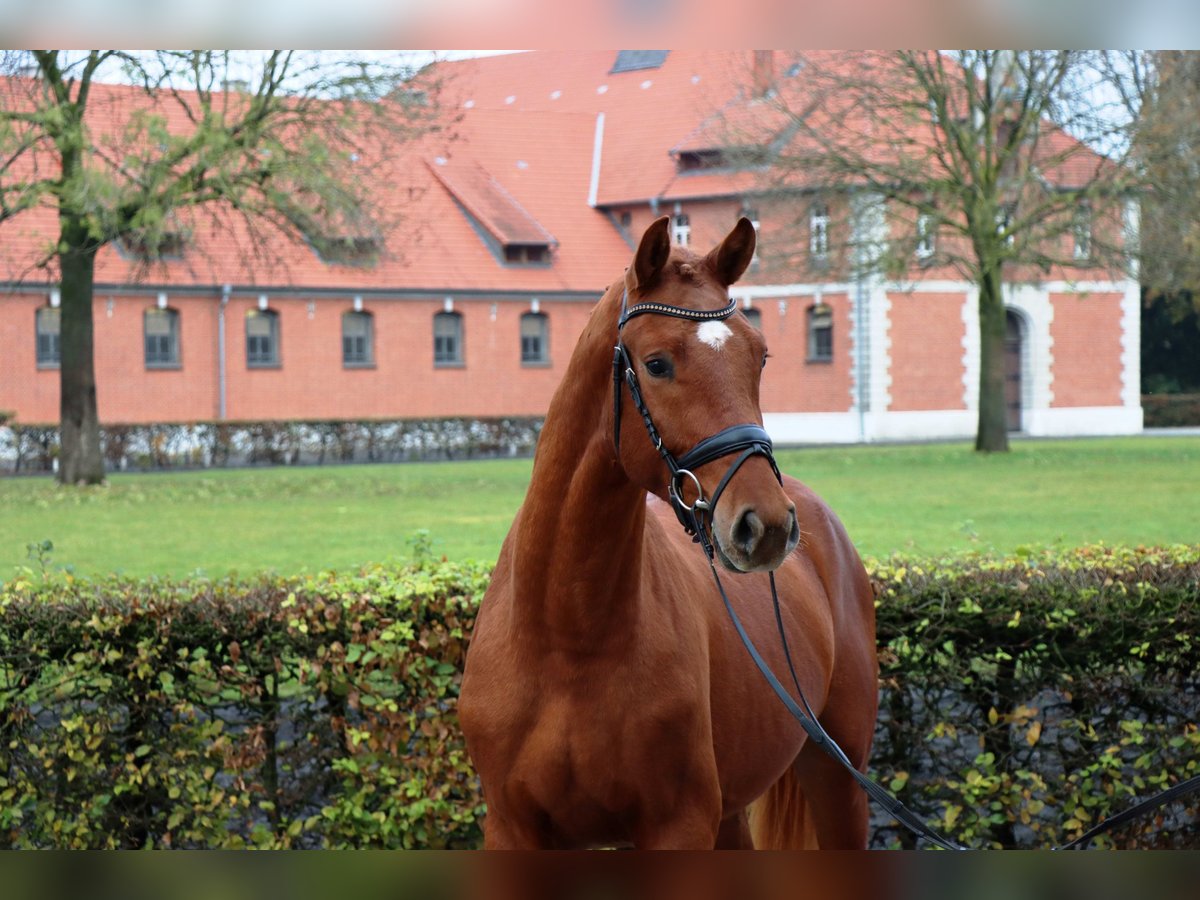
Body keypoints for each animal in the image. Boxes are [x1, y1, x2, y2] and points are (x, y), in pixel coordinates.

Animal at [453, 214, 878, 849]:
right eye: (656, 363)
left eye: (760, 357)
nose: (766, 524)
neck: (566, 640)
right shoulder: (512, 829)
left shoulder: (678, 825)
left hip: (839, 778)